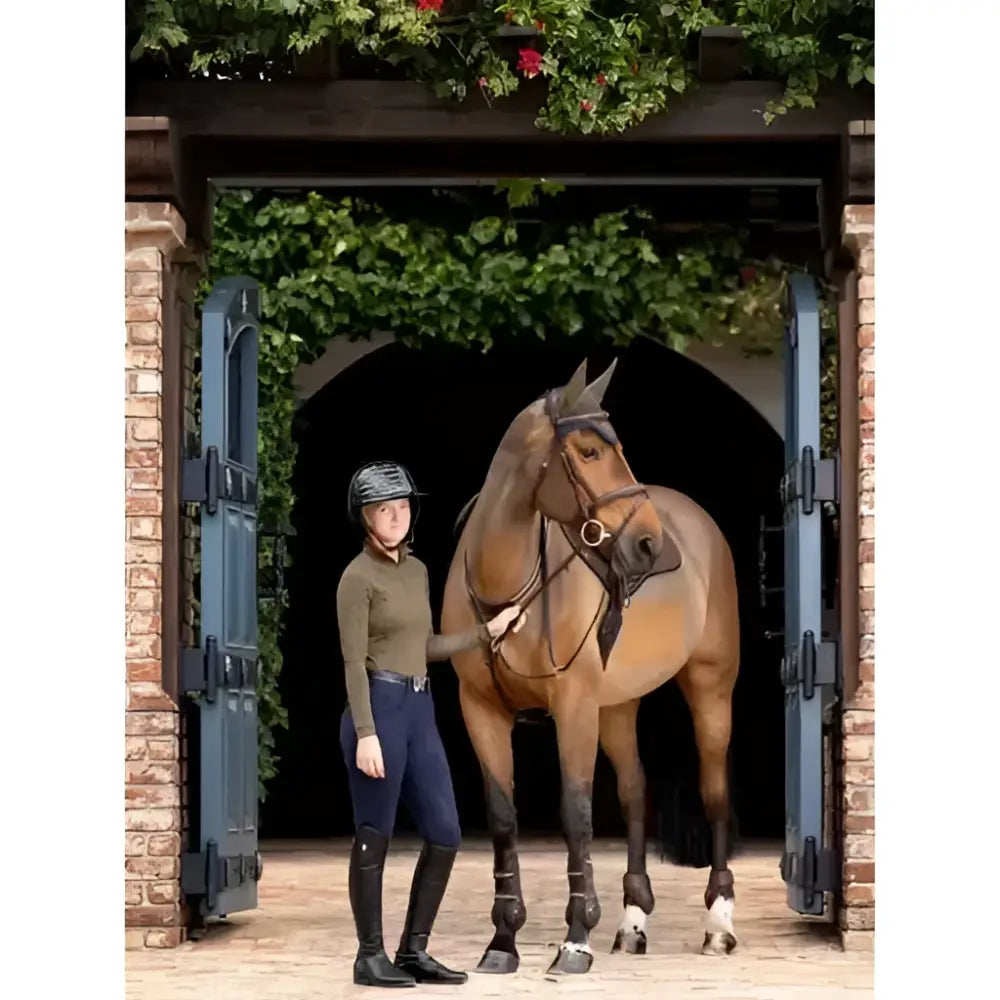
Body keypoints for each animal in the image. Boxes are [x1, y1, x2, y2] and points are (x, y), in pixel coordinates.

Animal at [439, 358, 741, 975]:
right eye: (589, 450)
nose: (648, 543)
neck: (505, 582)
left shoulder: (573, 706)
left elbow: (576, 812)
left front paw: (575, 939)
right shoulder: (480, 709)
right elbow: (502, 815)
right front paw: (503, 940)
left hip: (710, 686)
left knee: (715, 790)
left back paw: (718, 923)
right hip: (619, 705)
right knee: (633, 793)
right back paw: (632, 922)